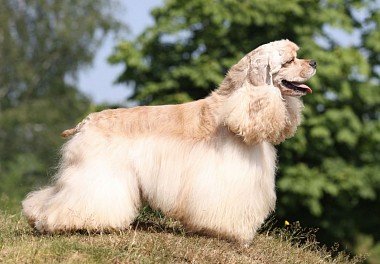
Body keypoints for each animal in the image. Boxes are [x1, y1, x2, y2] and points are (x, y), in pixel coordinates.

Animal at [22, 39, 316, 245]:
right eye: (290, 60)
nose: (313, 62)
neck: (239, 104)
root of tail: (87, 120)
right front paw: (234, 235)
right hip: (96, 173)